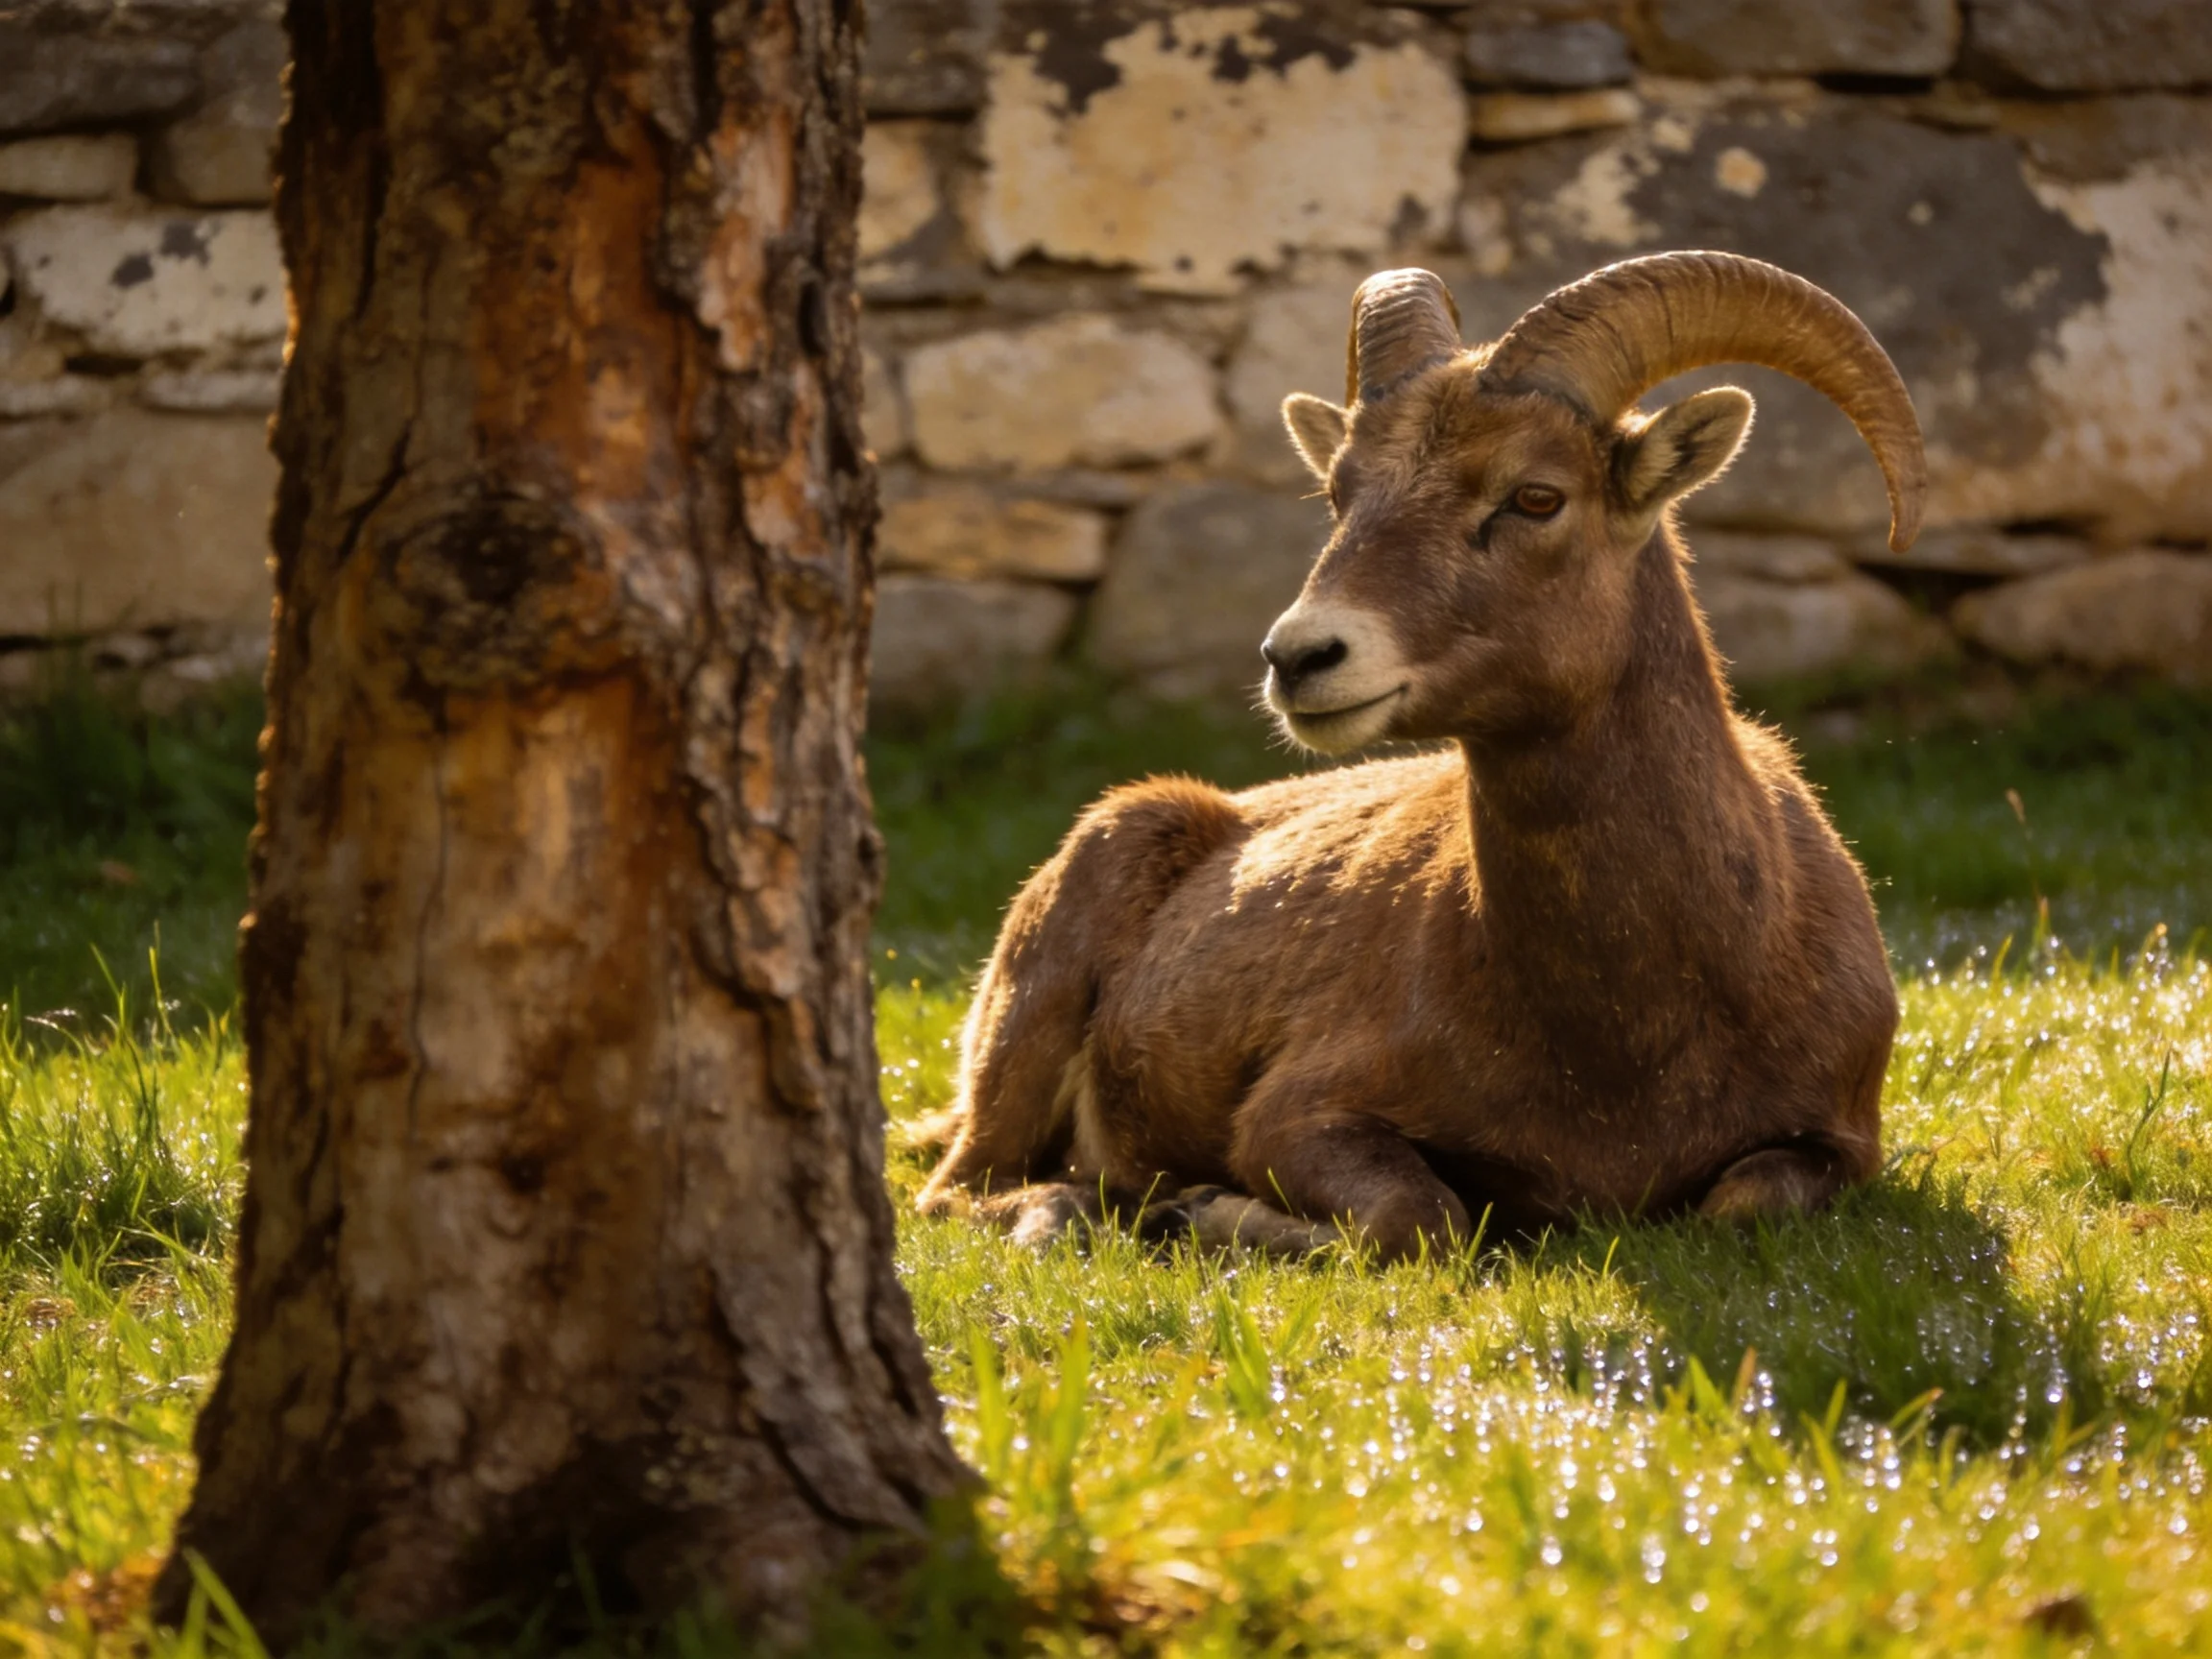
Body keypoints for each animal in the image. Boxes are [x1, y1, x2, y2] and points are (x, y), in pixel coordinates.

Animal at [916, 252, 1922, 1261]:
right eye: (1339, 494)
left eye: (1536, 496)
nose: (1300, 657)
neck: (1631, 1037)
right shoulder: (1299, 1115)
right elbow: (1423, 1219)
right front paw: (1201, 1207)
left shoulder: (1835, 1142)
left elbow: (1742, 1205)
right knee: (962, 1191)